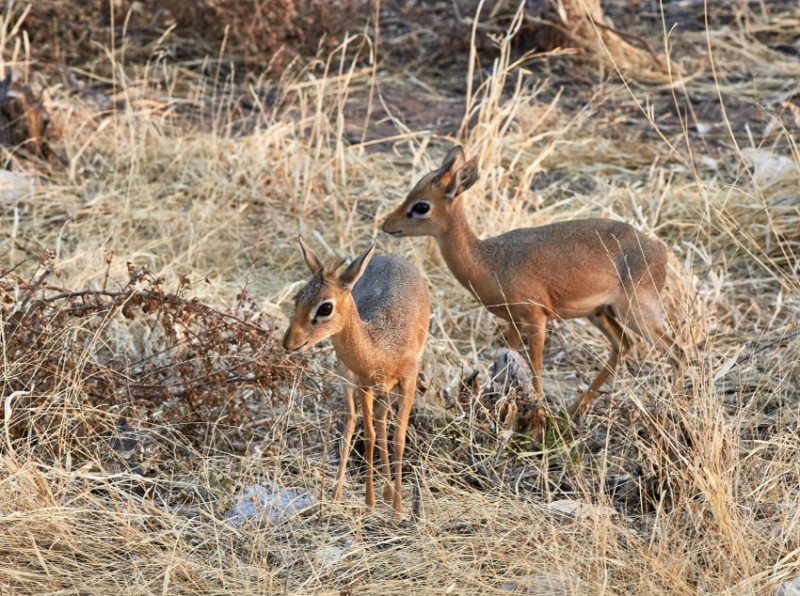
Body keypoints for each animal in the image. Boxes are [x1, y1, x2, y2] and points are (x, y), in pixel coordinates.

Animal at [282, 236, 432, 516]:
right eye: (297, 298)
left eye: (325, 307)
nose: (289, 342)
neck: (381, 348)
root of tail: (388, 257)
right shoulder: (364, 384)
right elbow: (370, 435)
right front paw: (370, 502)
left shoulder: (407, 382)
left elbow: (398, 439)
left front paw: (398, 510)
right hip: (348, 379)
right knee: (353, 422)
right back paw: (339, 494)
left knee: (382, 420)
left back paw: (388, 494)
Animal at [384, 146, 684, 414]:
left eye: (421, 206)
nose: (387, 225)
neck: (489, 262)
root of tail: (660, 250)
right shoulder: (514, 322)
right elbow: (507, 361)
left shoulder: (536, 317)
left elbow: (536, 365)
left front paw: (539, 405)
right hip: (600, 313)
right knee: (624, 346)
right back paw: (574, 409)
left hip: (637, 313)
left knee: (676, 351)